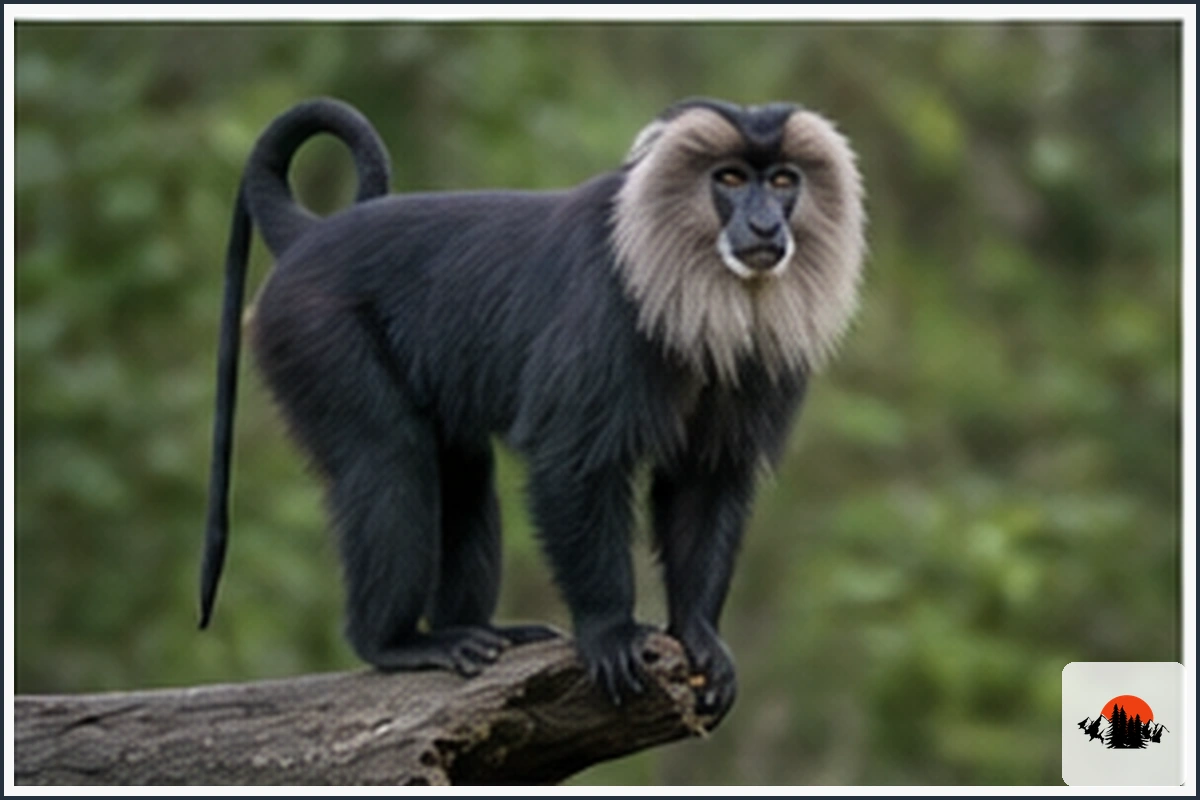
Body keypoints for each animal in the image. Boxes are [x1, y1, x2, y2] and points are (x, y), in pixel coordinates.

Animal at [200, 96, 865, 721]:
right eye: (728, 178)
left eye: (782, 181)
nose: (765, 225)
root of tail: (312, 239)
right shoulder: (605, 314)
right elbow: (572, 465)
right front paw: (610, 632)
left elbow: (707, 478)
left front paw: (700, 638)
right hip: (314, 334)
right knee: (388, 455)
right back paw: (394, 643)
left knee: (462, 471)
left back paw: (475, 629)